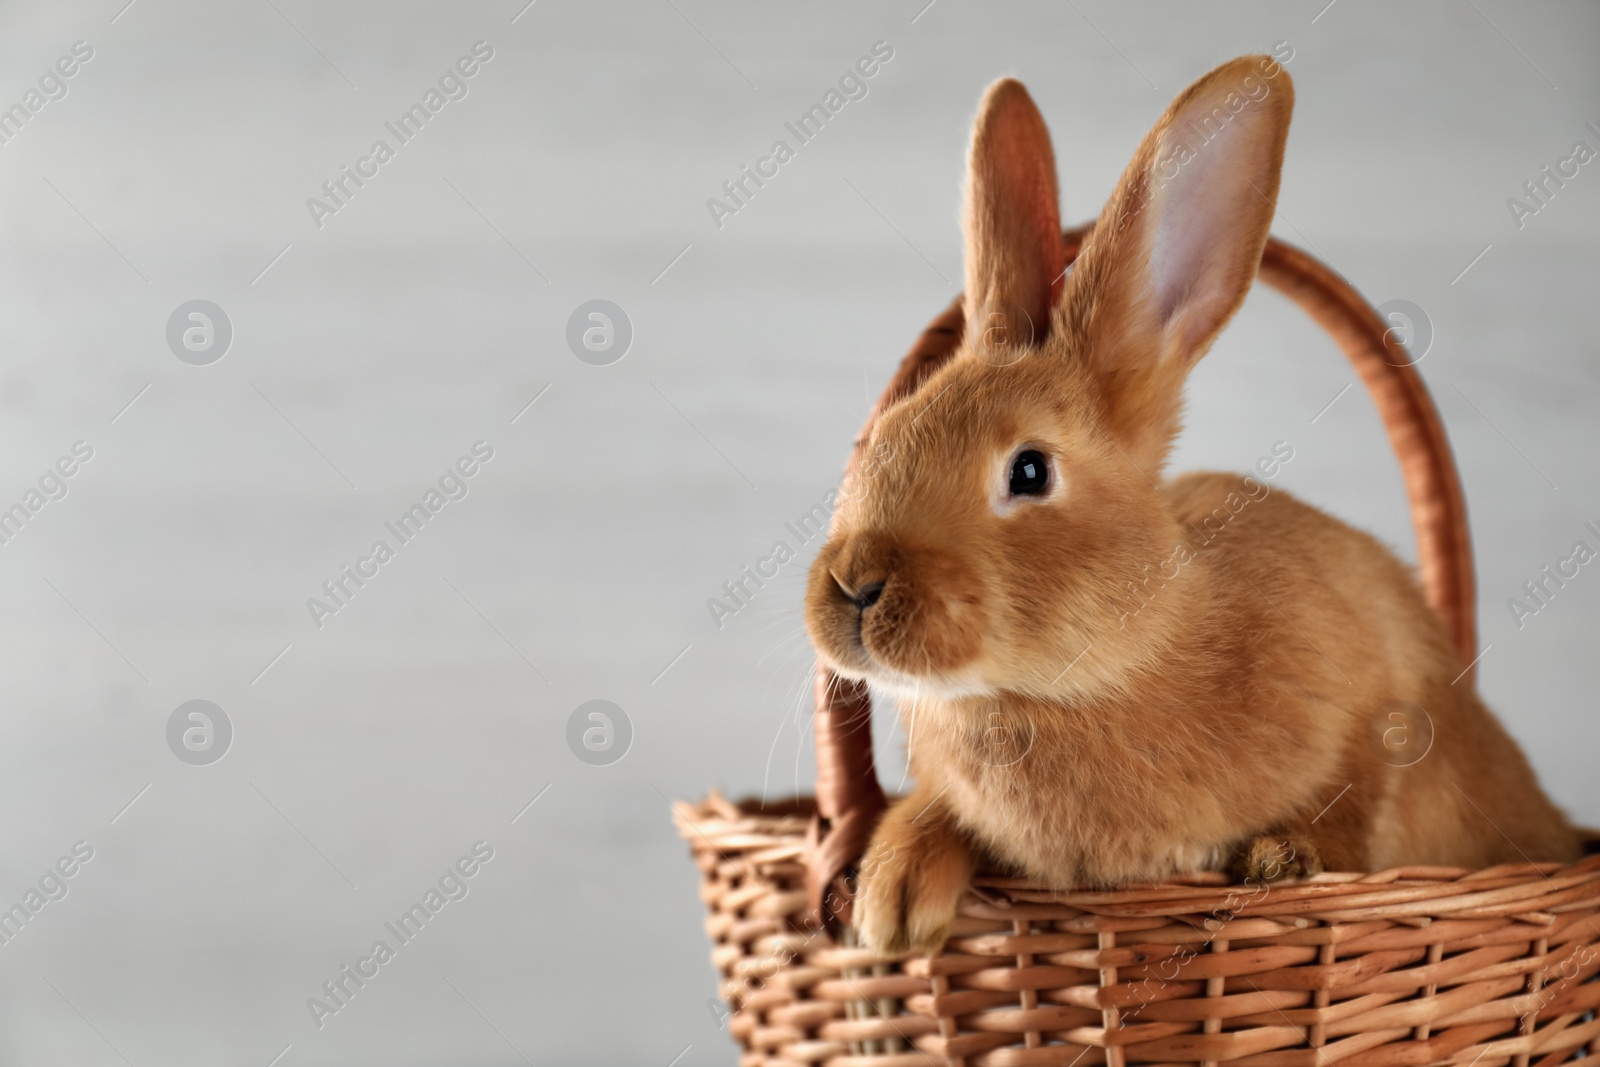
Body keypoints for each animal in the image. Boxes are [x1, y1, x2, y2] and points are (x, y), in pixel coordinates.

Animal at [806, 56, 1580, 959]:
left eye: (1029, 471)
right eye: (881, 435)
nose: (855, 583)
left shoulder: (1383, 706)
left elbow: (1361, 798)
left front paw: (1284, 858)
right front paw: (892, 896)